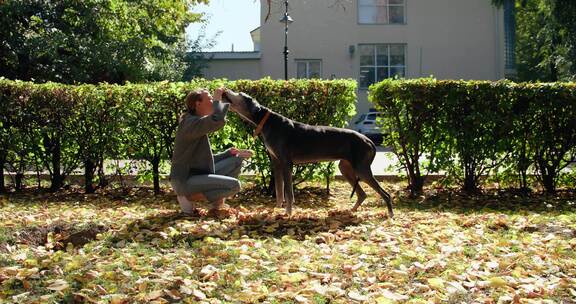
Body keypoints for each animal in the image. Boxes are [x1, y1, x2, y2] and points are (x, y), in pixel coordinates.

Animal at [223, 89, 394, 217]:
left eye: (239, 94)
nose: (225, 90)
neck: (265, 120)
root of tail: (369, 140)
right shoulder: (276, 163)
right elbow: (279, 190)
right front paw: (276, 211)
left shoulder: (286, 163)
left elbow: (288, 193)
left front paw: (288, 214)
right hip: (346, 168)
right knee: (362, 194)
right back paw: (351, 211)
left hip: (361, 169)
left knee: (385, 194)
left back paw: (390, 215)